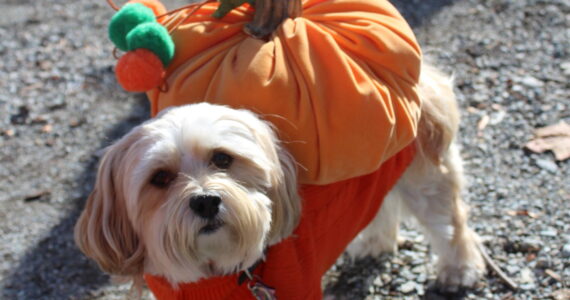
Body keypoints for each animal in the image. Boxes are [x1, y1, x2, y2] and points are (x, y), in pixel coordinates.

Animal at [74, 63, 484, 298]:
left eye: (222, 158)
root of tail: (420, 78)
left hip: (426, 181)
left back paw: (459, 272)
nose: (206, 200)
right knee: (382, 207)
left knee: (451, 225)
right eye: (160, 178)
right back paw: (374, 244)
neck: (219, 274)